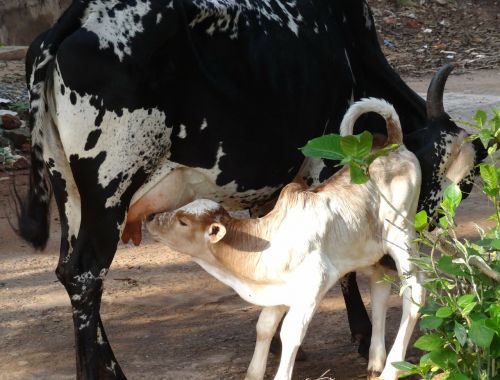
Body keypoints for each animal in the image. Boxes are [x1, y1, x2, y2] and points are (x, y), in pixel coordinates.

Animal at [146, 98, 424, 380]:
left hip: (401, 234)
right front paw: (254, 373)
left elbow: (290, 334)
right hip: (373, 250)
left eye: (183, 221)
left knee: (415, 293)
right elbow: (265, 326)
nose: (151, 217)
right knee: (379, 289)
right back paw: (376, 362)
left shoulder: (311, 287)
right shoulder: (278, 289)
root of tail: (393, 144)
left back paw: (391, 368)